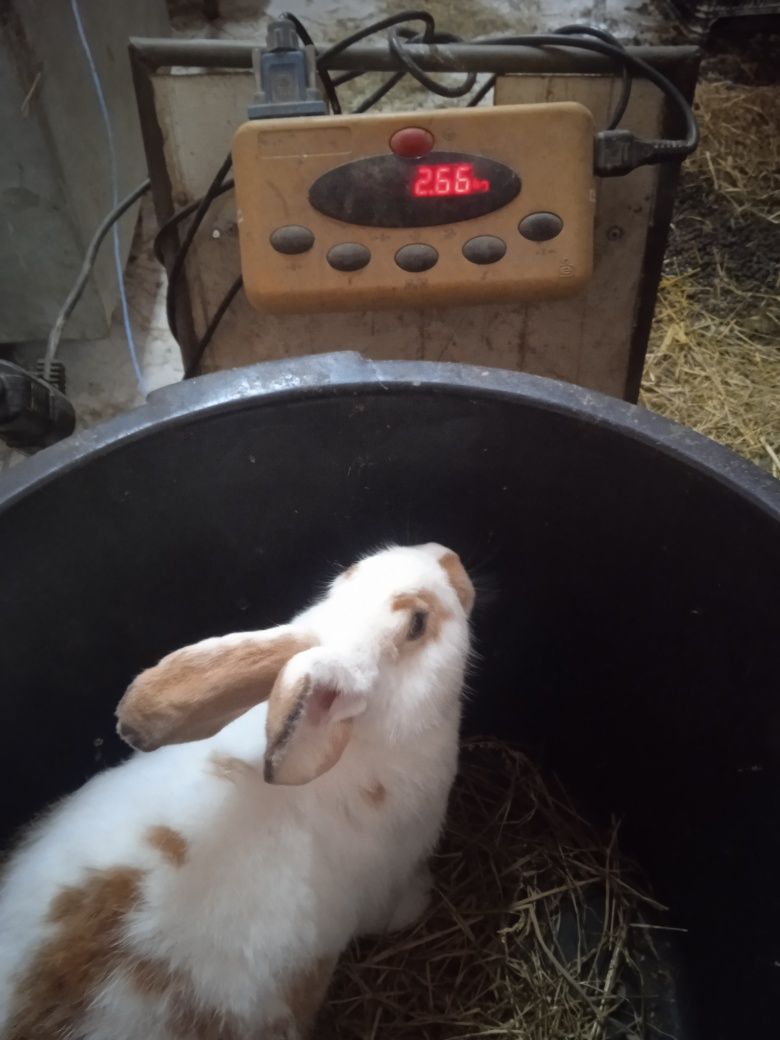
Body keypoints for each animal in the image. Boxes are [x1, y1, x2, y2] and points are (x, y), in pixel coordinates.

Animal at [0, 544, 474, 1040]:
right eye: (418, 623)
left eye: (350, 569)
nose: (449, 556)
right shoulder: (387, 885)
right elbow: (396, 908)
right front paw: (423, 898)